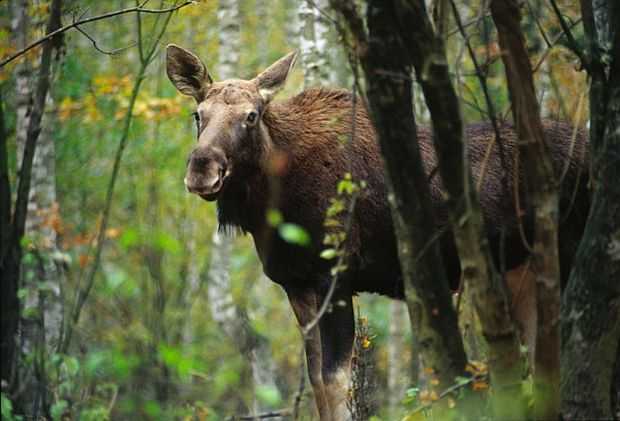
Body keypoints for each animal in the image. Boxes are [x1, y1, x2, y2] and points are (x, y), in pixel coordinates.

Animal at [167, 44, 588, 418]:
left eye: (252, 115)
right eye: (198, 114)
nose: (202, 168)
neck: (274, 201)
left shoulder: (334, 276)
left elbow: (335, 381)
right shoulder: (296, 285)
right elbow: (317, 382)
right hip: (519, 272)